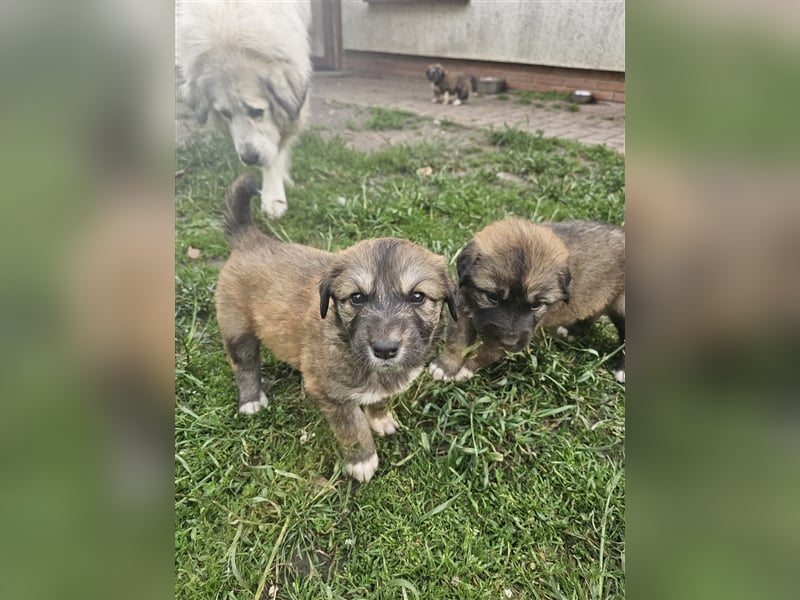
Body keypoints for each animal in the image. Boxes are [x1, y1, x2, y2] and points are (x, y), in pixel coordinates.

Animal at [216, 173, 460, 482]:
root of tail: (251, 238)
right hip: (237, 328)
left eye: (418, 297)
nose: (385, 350)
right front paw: (362, 461)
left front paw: (380, 419)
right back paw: (251, 400)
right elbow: (352, 426)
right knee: (244, 364)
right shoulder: (331, 393)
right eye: (356, 298)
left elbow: (380, 399)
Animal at [428, 218, 628, 382]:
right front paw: (445, 366)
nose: (509, 342)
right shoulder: (462, 307)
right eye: (492, 297)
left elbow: (485, 351)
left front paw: (467, 369)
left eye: (536, 305)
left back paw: (623, 371)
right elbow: (457, 340)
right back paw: (572, 330)